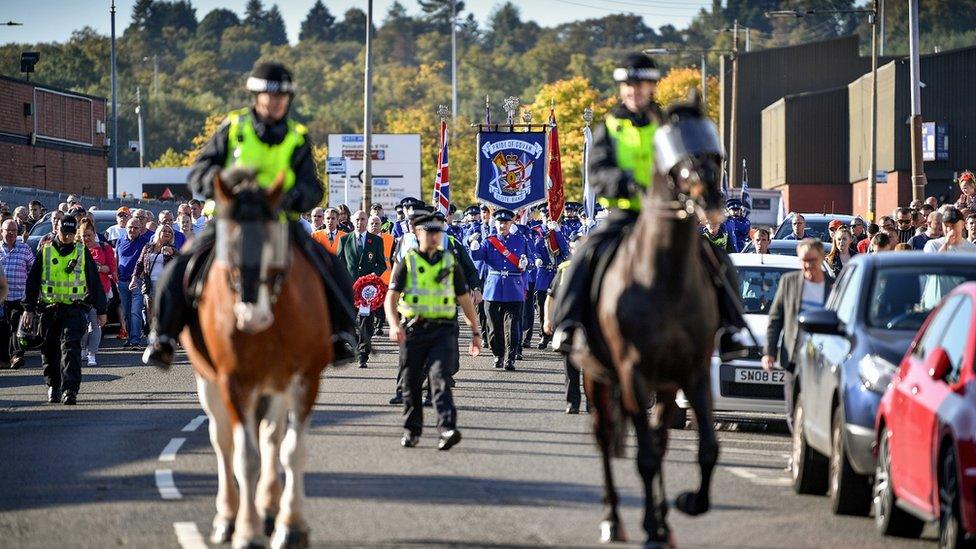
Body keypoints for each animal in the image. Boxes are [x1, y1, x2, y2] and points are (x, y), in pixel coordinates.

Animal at [181, 168, 334, 548]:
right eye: (229, 245)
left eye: (273, 241)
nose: (251, 317)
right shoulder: (234, 383)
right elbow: (244, 457)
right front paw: (247, 531)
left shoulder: (304, 380)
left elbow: (291, 449)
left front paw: (290, 525)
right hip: (210, 383)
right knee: (223, 442)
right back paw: (228, 516)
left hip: (274, 386)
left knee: (271, 436)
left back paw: (268, 505)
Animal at [576, 100, 728, 544]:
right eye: (677, 155)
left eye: (716, 153)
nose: (711, 201)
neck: (666, 280)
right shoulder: (633, 372)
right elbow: (643, 456)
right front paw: (651, 526)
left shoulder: (693, 371)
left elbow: (706, 448)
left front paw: (687, 503)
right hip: (598, 377)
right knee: (605, 437)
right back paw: (613, 518)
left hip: (664, 384)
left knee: (658, 439)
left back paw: (660, 516)